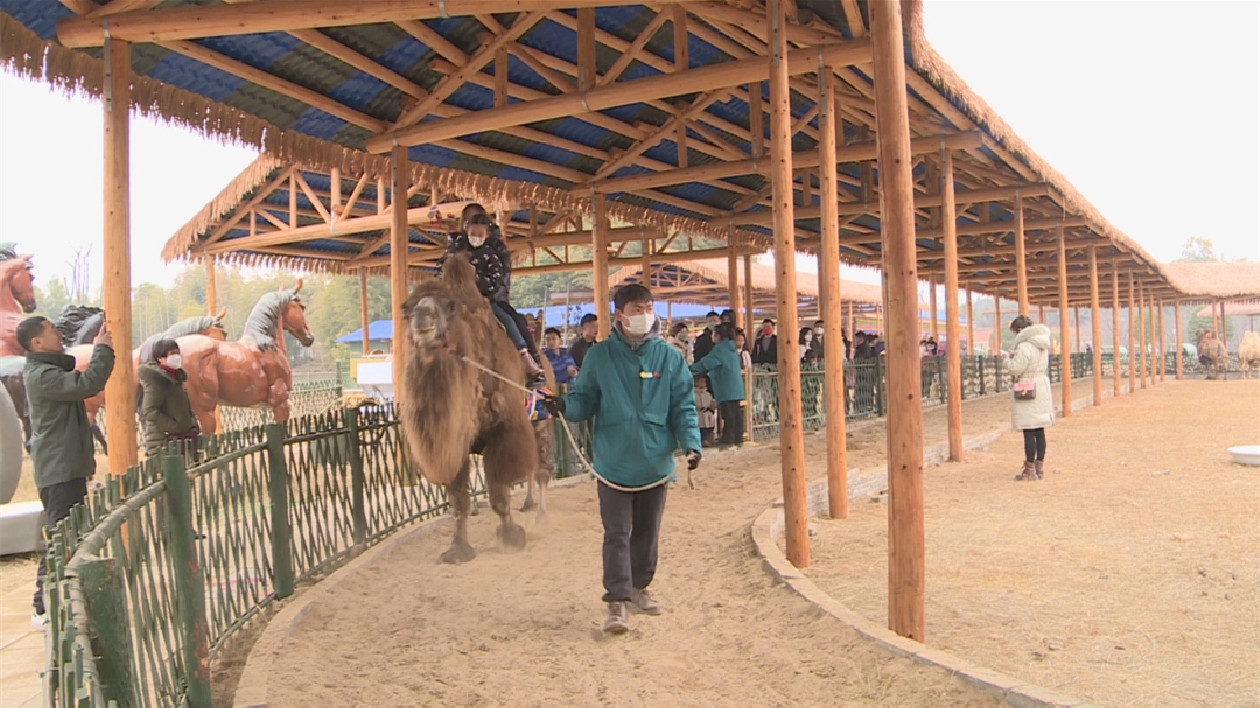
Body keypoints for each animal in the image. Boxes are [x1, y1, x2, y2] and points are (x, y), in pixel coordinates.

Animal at [400, 250, 534, 559]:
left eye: (450, 307)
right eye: (405, 308)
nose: (422, 316)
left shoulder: (506, 429)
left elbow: (499, 490)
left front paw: (512, 537)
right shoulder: (454, 442)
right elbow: (459, 499)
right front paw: (458, 549)